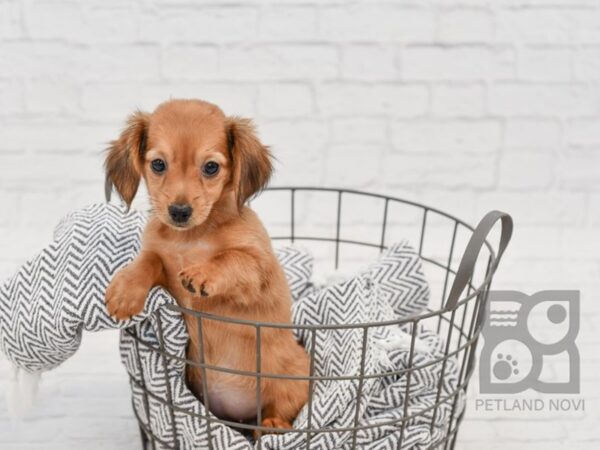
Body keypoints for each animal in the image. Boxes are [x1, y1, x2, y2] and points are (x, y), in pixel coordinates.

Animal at [104, 99, 310, 432]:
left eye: (211, 167)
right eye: (158, 164)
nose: (179, 211)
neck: (191, 238)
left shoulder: (258, 268)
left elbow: (231, 258)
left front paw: (202, 272)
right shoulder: (161, 260)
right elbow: (148, 259)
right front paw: (125, 290)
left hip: (293, 377)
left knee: (282, 410)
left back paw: (274, 425)